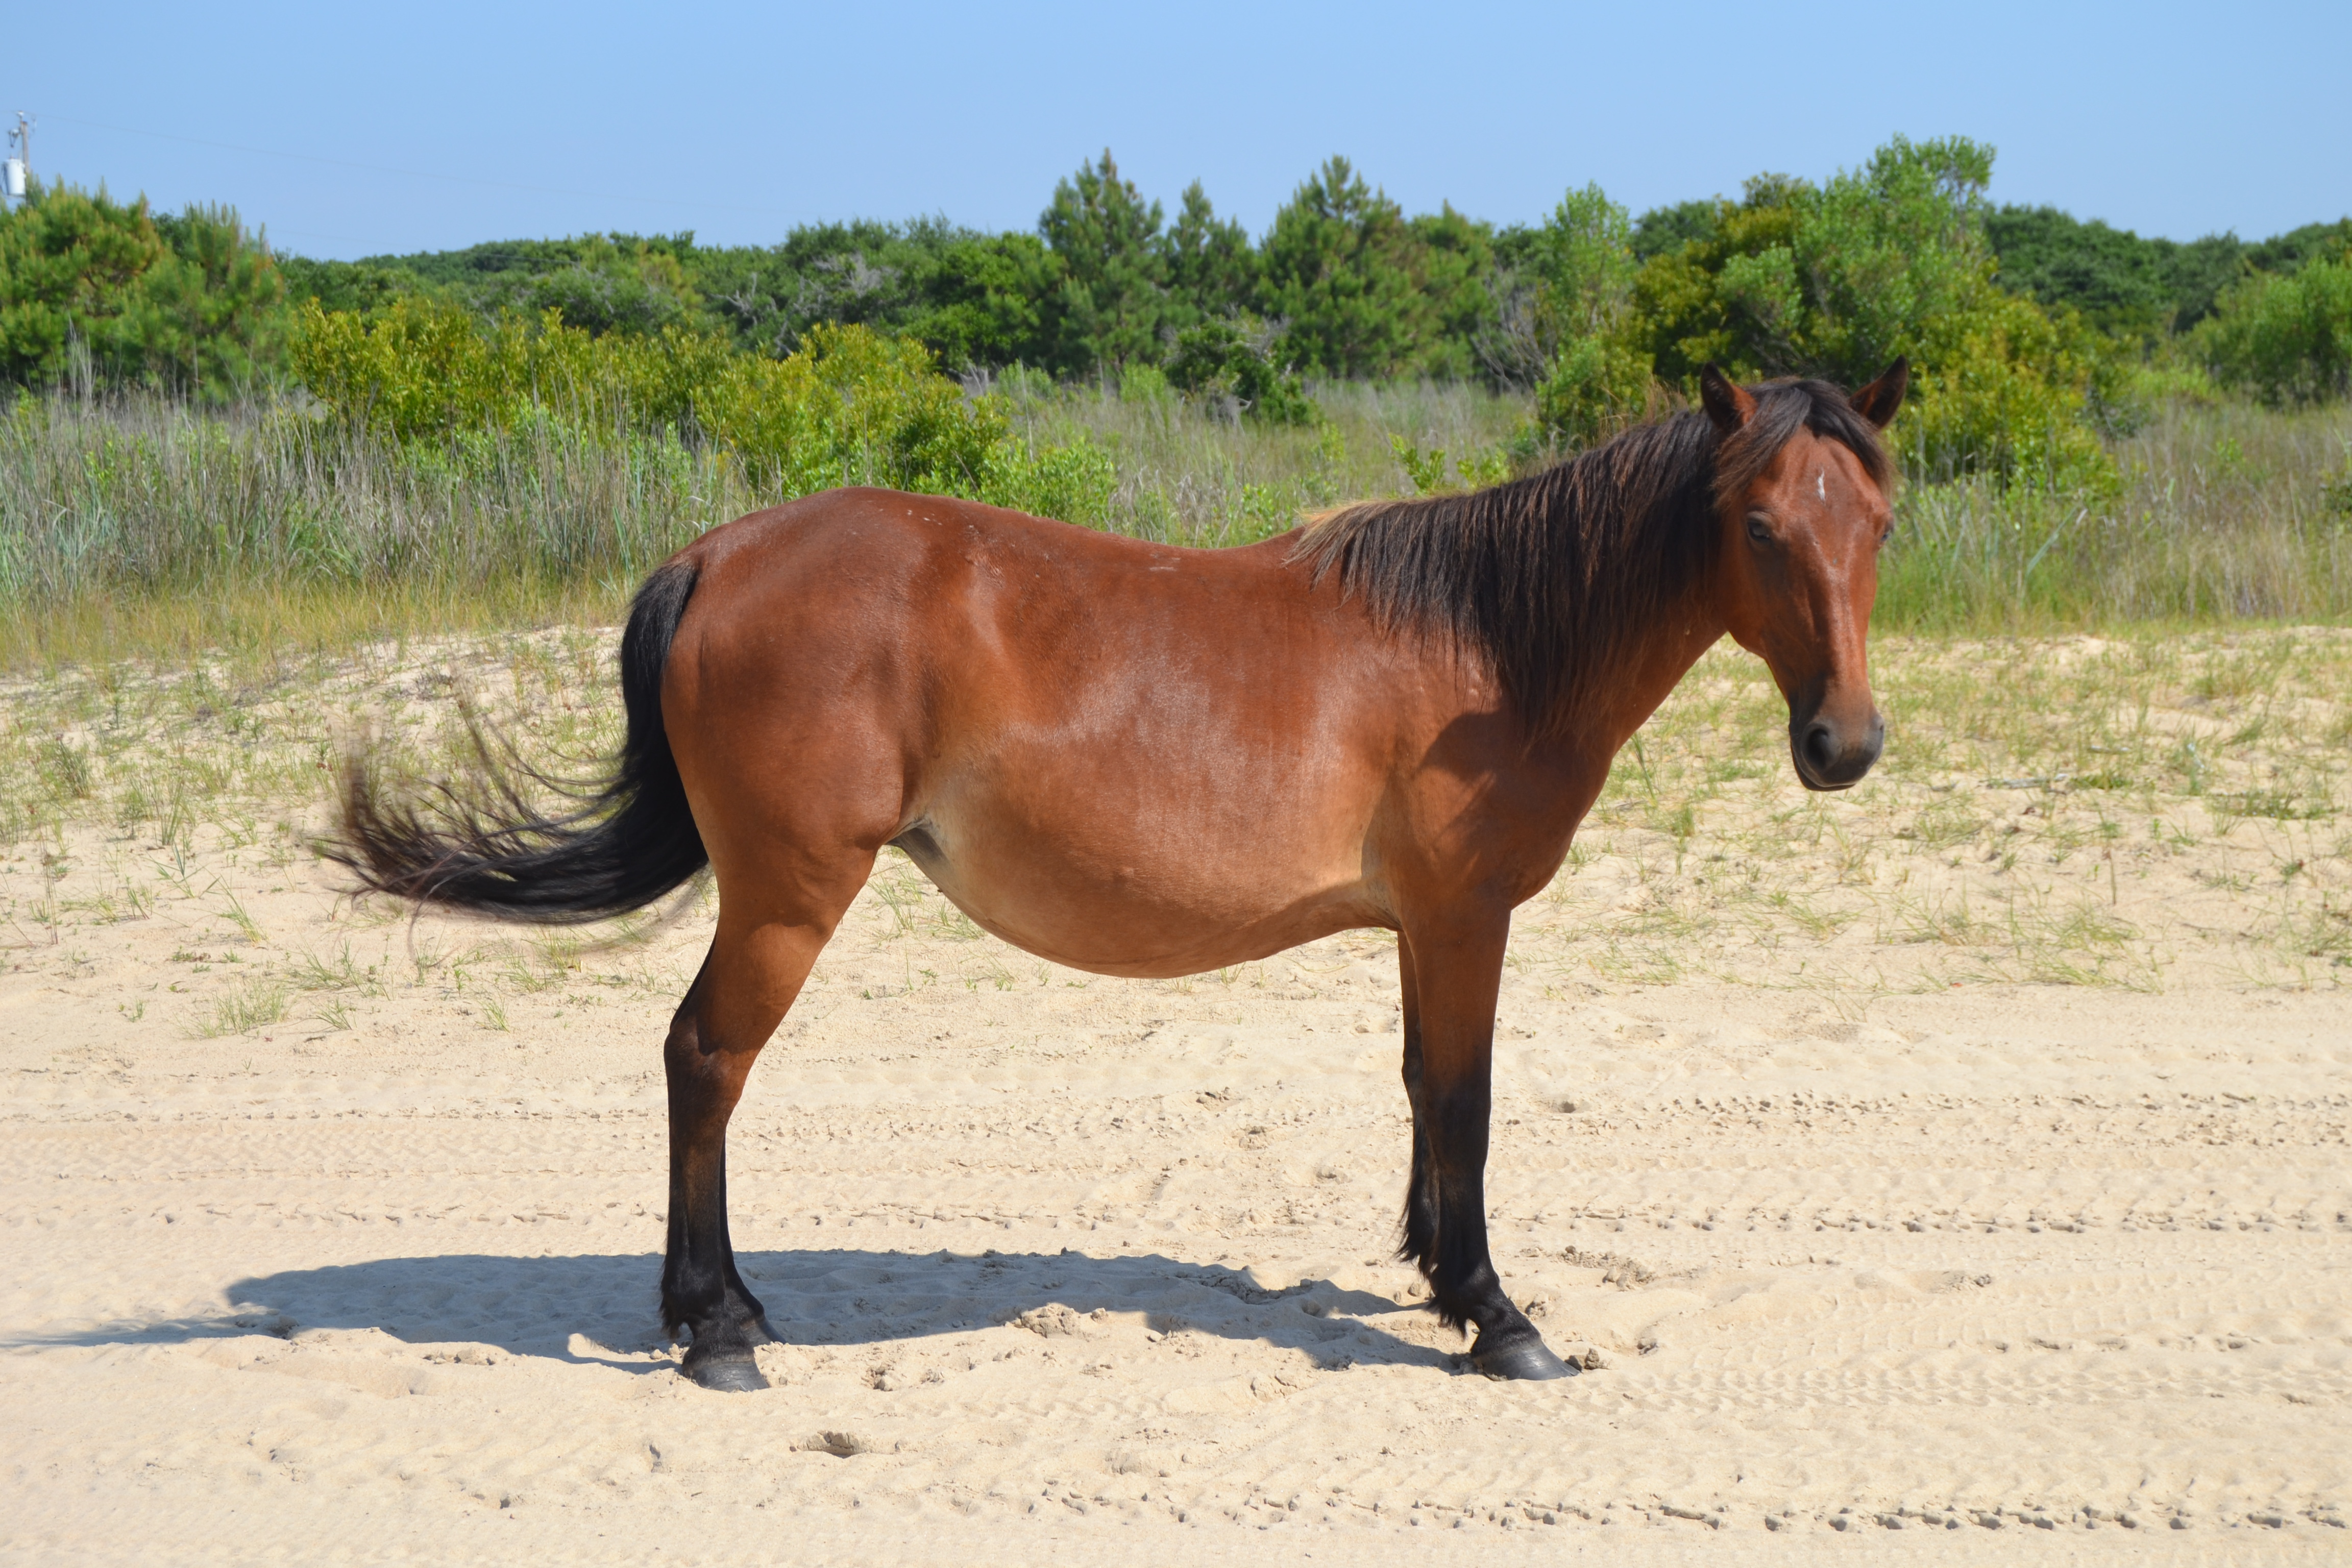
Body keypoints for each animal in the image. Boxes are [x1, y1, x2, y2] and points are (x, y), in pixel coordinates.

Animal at [329, 359, 1908, 1391]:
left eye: (1876, 523)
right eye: (1760, 525)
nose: (1843, 743)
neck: (1484, 643)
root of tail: (718, 554)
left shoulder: (1421, 926)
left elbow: (1420, 1092)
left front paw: (1434, 1277)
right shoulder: (1465, 917)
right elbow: (1464, 1100)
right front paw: (1498, 1318)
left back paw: (731, 1311)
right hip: (787, 895)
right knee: (705, 1059)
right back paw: (715, 1329)